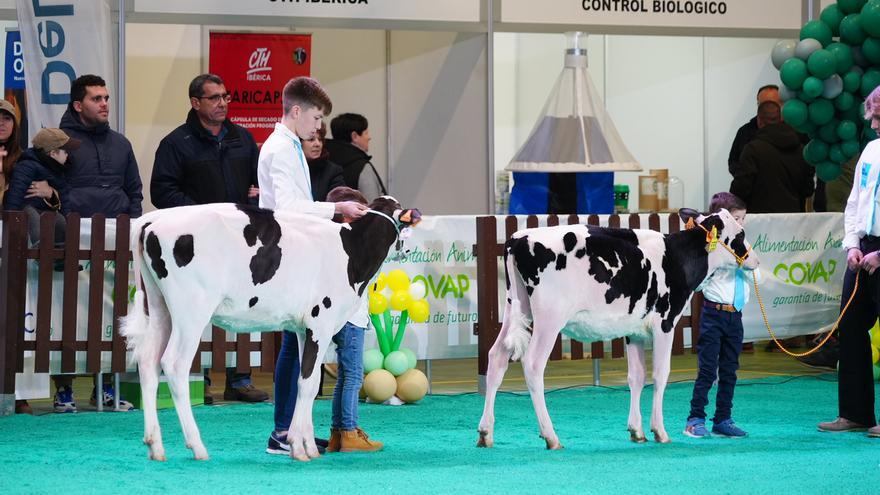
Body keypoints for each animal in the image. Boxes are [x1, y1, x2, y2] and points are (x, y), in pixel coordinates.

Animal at [120, 197, 420, 462]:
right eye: (405, 222)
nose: (409, 250)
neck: (350, 252)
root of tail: (154, 219)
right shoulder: (321, 323)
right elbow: (307, 384)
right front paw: (299, 447)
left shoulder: (303, 329)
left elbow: (307, 381)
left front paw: (308, 445)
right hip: (191, 311)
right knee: (174, 364)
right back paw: (197, 446)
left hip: (159, 308)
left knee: (147, 362)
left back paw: (155, 445)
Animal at [474, 209, 756, 450]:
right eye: (741, 233)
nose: (755, 259)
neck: (676, 257)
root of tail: (519, 238)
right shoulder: (665, 322)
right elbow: (660, 374)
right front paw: (660, 431)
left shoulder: (634, 331)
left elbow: (637, 376)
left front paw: (637, 431)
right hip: (549, 319)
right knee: (533, 364)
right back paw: (551, 436)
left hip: (516, 308)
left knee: (496, 357)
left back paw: (486, 433)